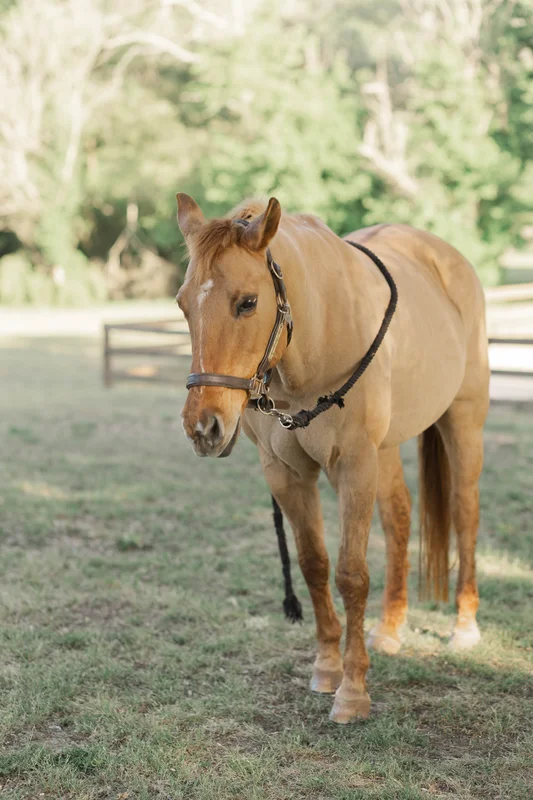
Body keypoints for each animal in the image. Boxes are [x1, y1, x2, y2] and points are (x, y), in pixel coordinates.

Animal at [176, 193, 490, 724]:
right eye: (182, 304)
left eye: (248, 302)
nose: (204, 427)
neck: (316, 339)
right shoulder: (286, 475)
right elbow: (314, 565)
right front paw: (326, 667)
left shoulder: (355, 467)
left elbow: (351, 574)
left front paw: (353, 690)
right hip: (387, 451)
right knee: (400, 516)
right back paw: (389, 628)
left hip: (462, 424)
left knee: (464, 512)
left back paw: (464, 626)